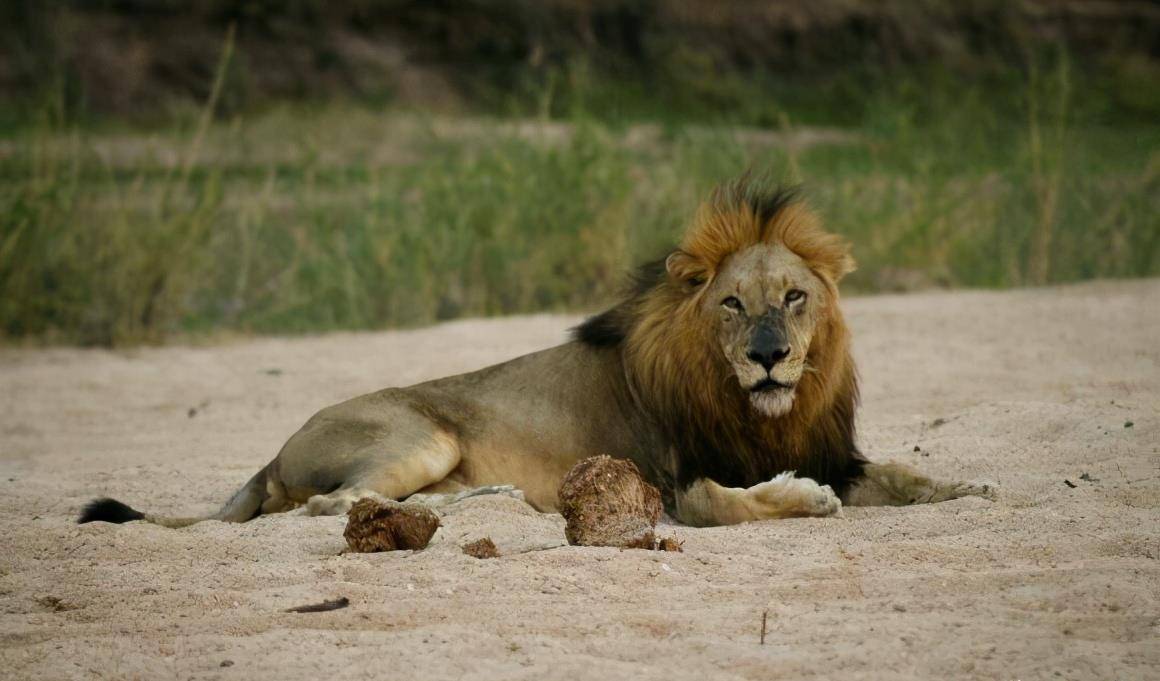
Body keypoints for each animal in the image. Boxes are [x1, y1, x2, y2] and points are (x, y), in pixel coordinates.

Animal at [81, 178, 992, 531]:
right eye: (733, 303)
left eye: (795, 297)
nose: (770, 355)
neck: (763, 410)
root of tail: (272, 452)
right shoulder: (675, 482)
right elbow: (730, 502)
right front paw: (802, 498)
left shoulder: (832, 445)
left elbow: (904, 475)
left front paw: (968, 485)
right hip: (419, 433)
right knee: (331, 503)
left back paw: (488, 498)